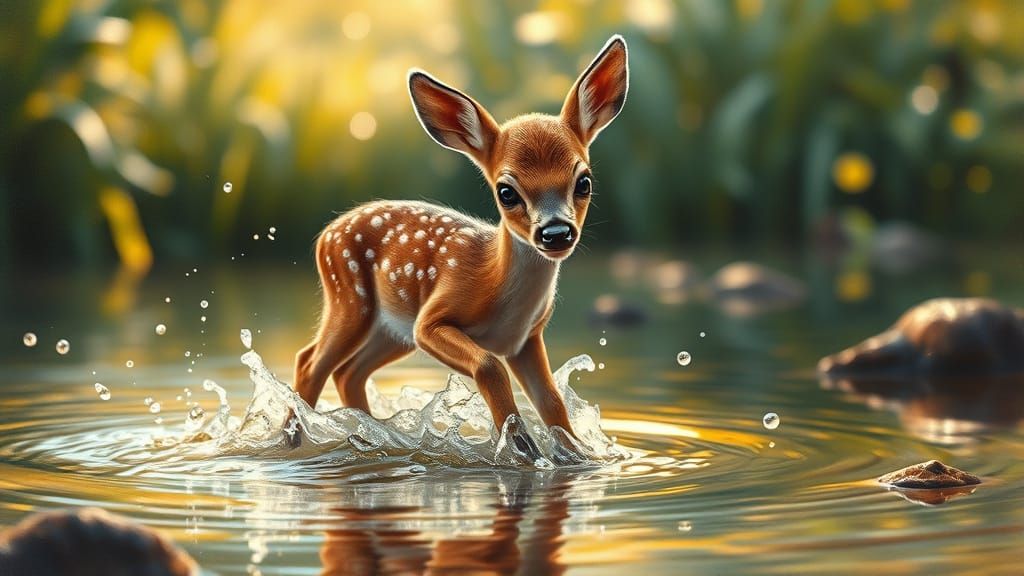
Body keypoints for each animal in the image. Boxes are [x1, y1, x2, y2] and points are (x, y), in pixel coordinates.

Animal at [291, 35, 629, 461]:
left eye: (583, 181)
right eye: (506, 192)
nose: (555, 233)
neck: (495, 283)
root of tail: (325, 233)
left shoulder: (526, 338)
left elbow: (551, 398)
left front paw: (578, 454)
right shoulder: (433, 318)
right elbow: (487, 365)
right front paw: (521, 446)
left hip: (391, 328)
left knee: (349, 372)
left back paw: (369, 436)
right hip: (351, 297)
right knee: (310, 361)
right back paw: (294, 441)